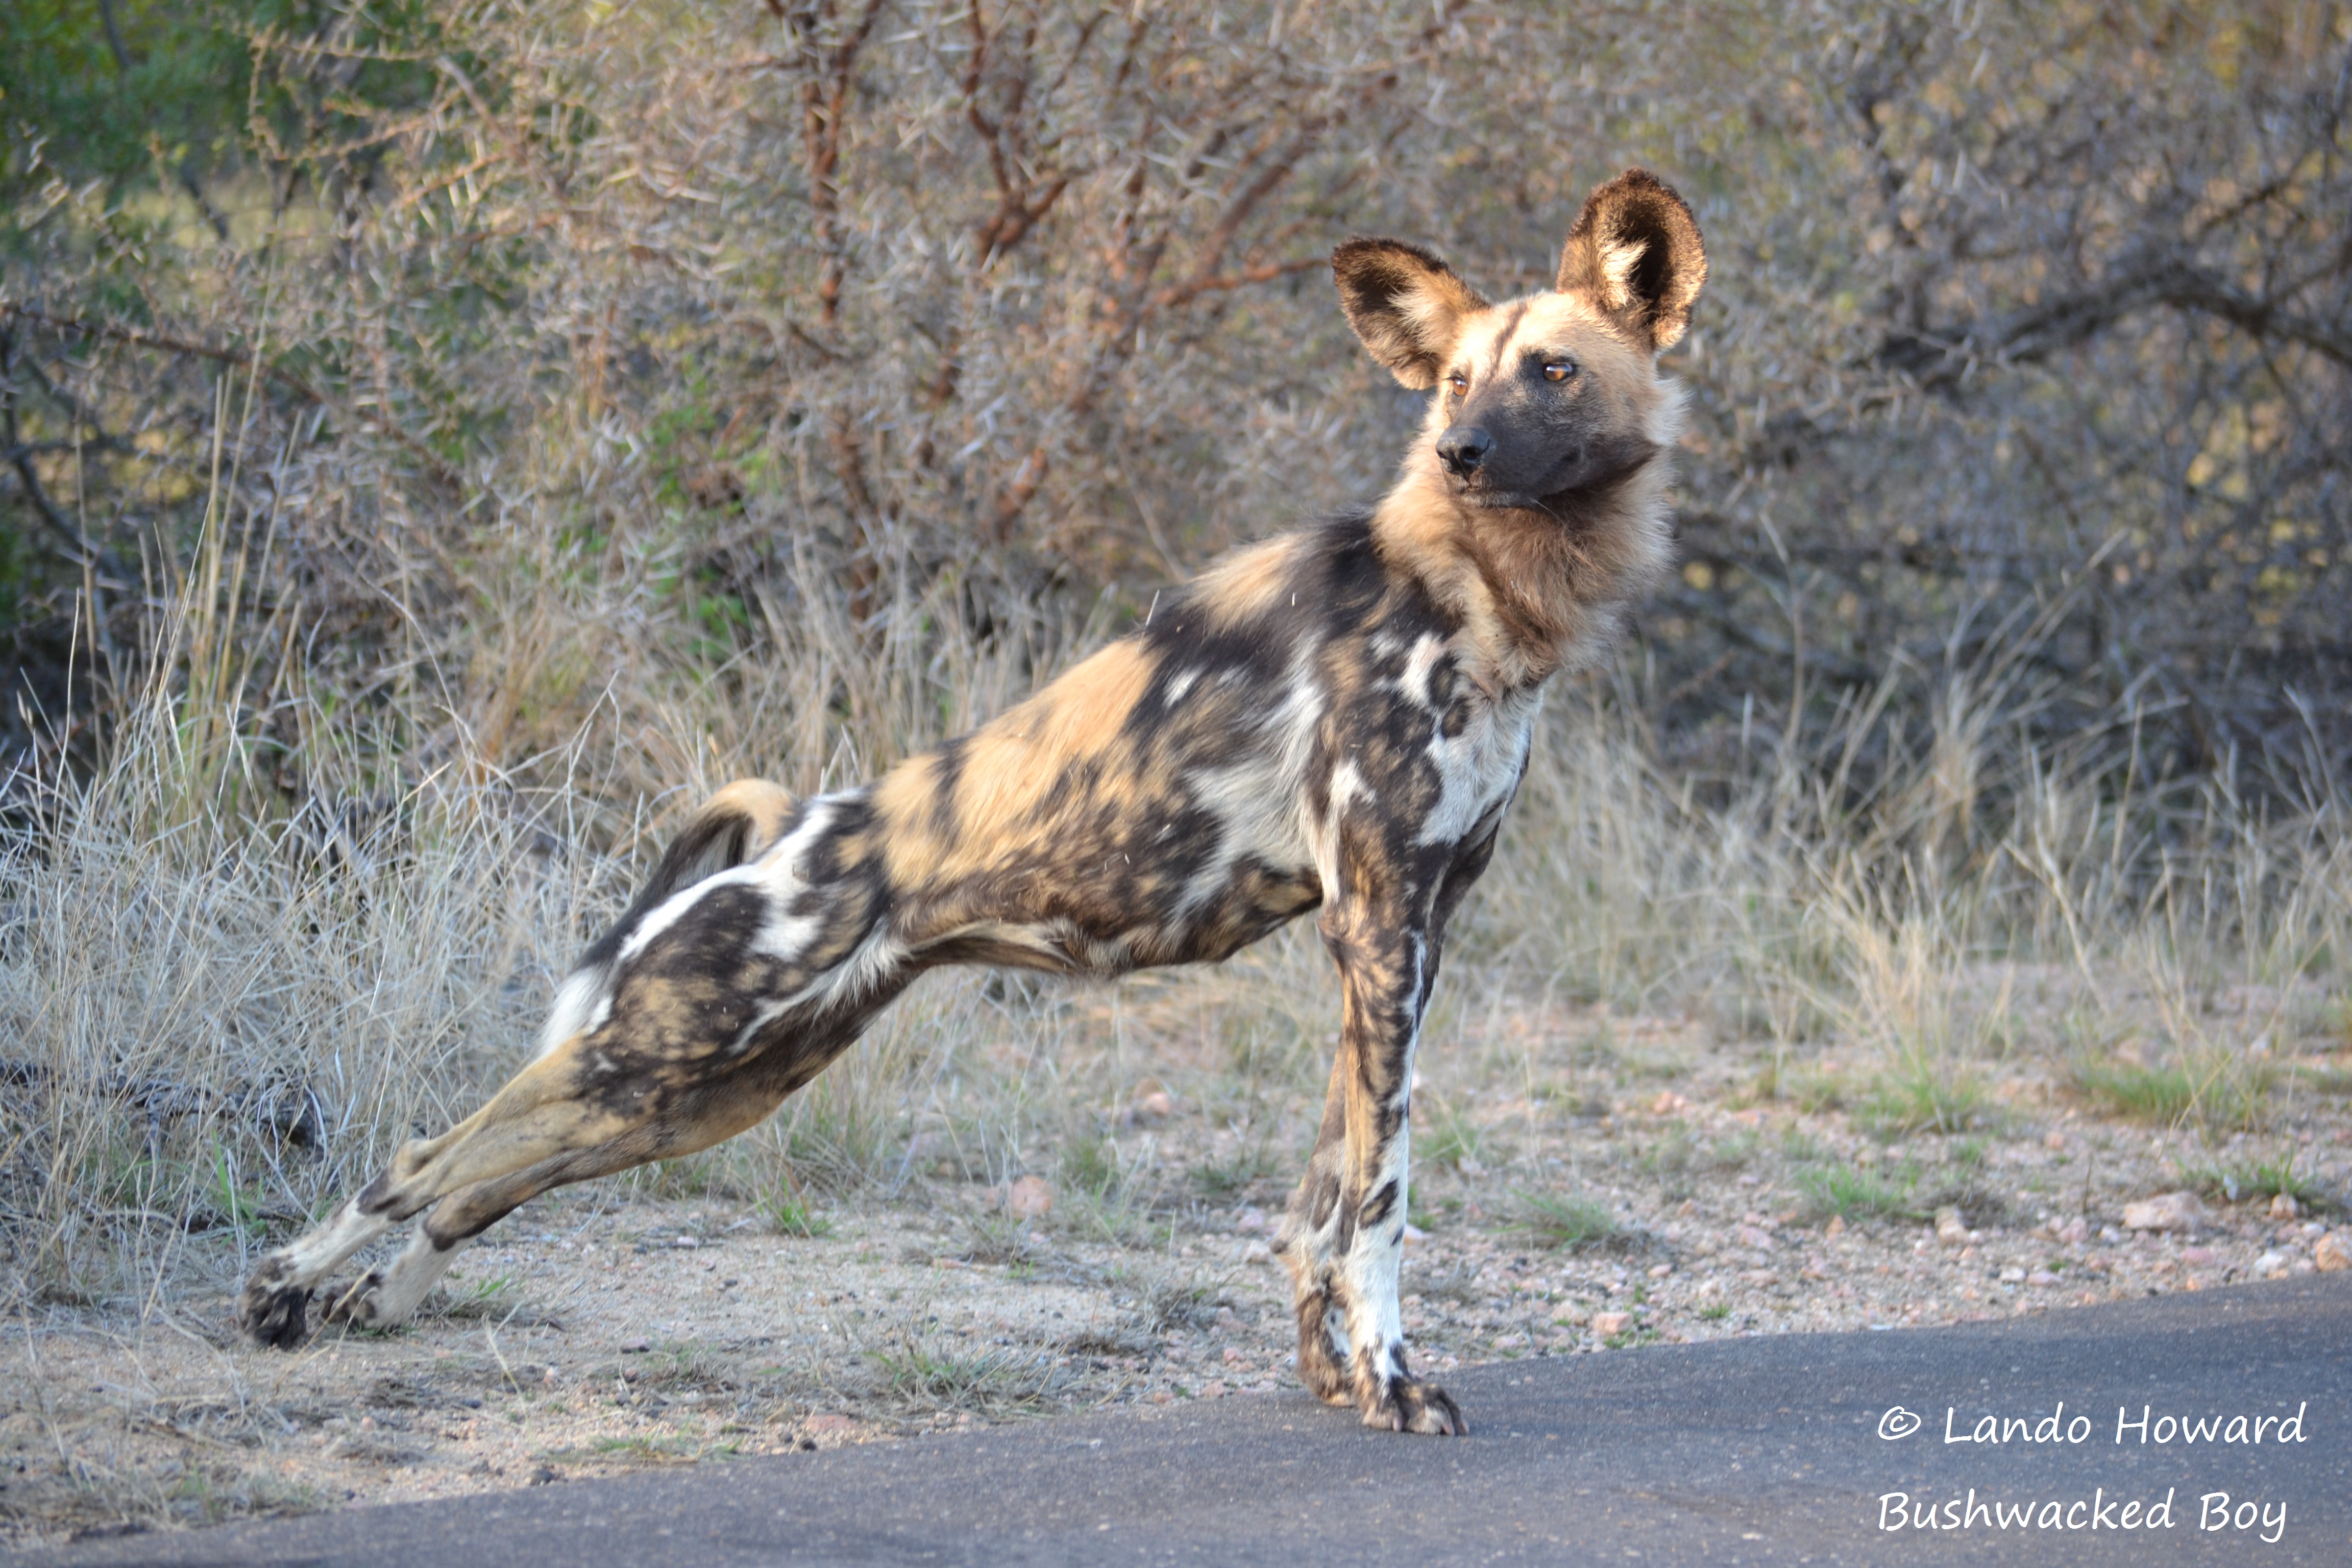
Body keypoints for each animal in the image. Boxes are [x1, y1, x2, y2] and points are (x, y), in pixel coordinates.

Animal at [243, 169, 1712, 1438]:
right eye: (1457, 379)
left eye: (1553, 372)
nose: (1462, 450)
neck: (1477, 597)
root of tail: (789, 832)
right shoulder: (1379, 929)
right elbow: (1385, 1204)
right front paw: (1396, 1389)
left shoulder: (1408, 936)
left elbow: (1327, 1198)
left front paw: (1338, 1381)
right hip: (662, 1056)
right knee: (423, 1156)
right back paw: (287, 1286)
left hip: (696, 1099)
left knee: (478, 1184)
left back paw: (360, 1301)